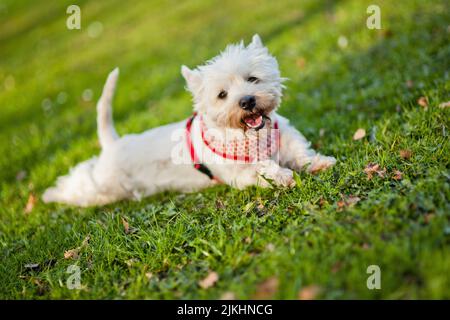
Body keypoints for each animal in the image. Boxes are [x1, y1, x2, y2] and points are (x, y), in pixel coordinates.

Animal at [43, 33, 334, 206]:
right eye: (222, 94)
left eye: (252, 78)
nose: (247, 101)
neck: (251, 136)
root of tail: (112, 142)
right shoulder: (238, 173)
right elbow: (263, 168)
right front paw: (283, 176)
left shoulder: (285, 135)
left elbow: (301, 152)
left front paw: (319, 162)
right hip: (104, 186)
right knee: (79, 184)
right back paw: (51, 194)